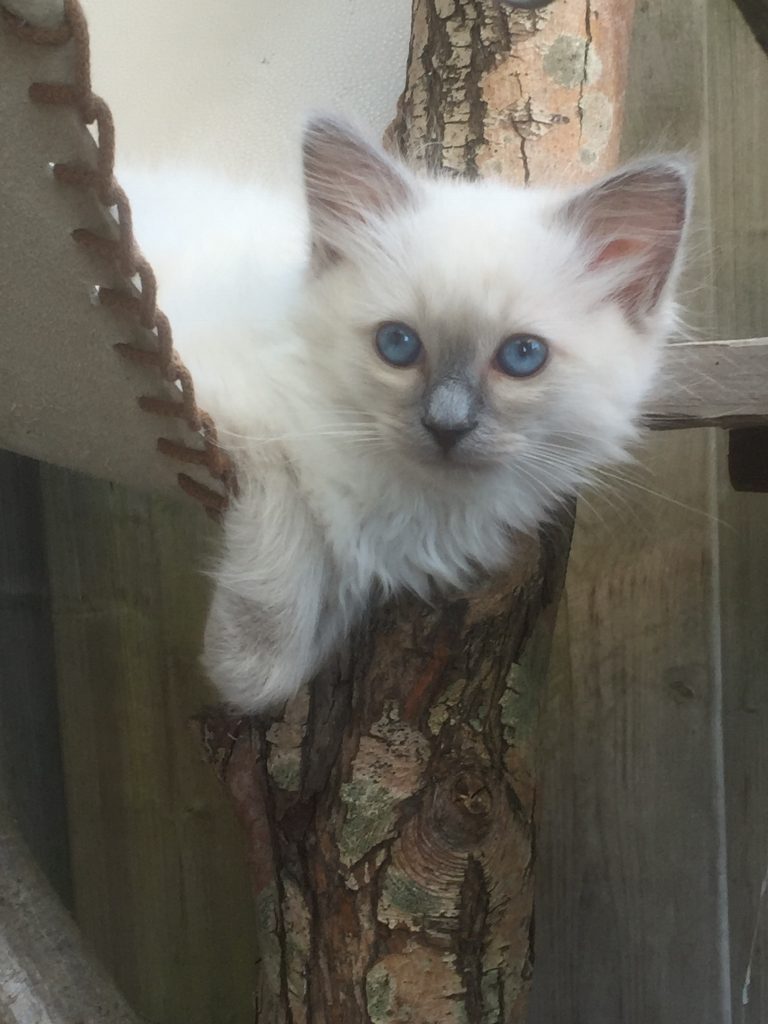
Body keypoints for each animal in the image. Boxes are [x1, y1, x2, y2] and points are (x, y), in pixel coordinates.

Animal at [124, 116, 692, 712]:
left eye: (522, 356)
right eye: (397, 345)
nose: (446, 427)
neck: (416, 505)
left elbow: (328, 617)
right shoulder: (232, 407)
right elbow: (284, 571)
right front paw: (242, 662)